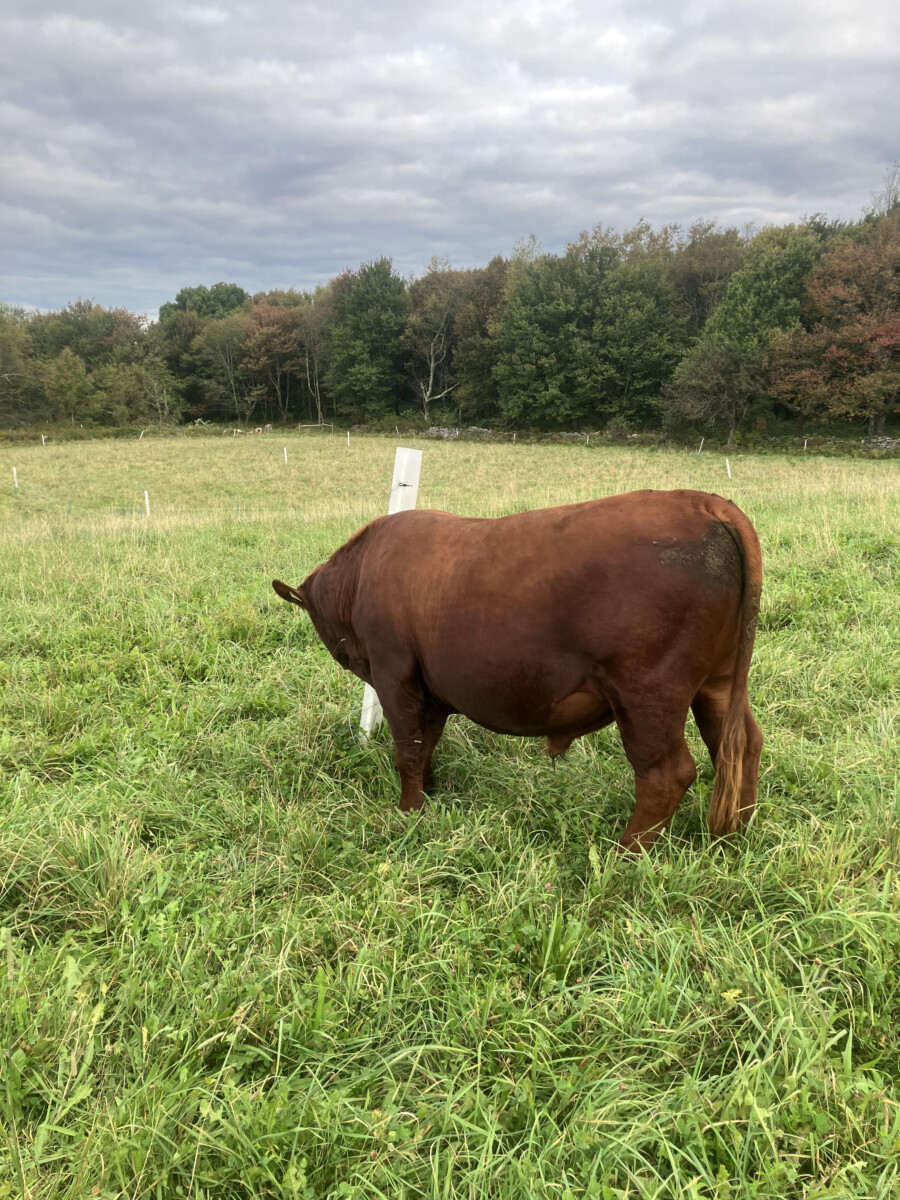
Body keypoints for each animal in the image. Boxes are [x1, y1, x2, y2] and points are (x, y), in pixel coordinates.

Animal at [272, 490, 763, 851]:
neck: (359, 576)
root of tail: (703, 502)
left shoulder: (395, 676)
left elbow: (408, 749)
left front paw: (409, 813)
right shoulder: (432, 692)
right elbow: (428, 744)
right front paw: (431, 794)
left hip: (647, 694)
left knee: (667, 773)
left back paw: (624, 852)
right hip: (716, 684)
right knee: (740, 746)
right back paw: (736, 832)